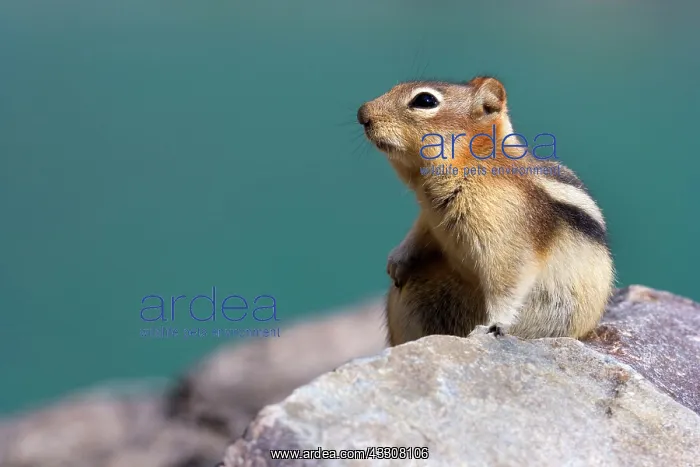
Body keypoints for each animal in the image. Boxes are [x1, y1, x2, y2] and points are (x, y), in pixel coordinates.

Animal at [357, 76, 615, 346]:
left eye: (425, 100)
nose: (362, 113)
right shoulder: (429, 217)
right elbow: (419, 231)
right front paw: (397, 259)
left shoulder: (508, 238)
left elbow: (508, 283)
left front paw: (494, 325)